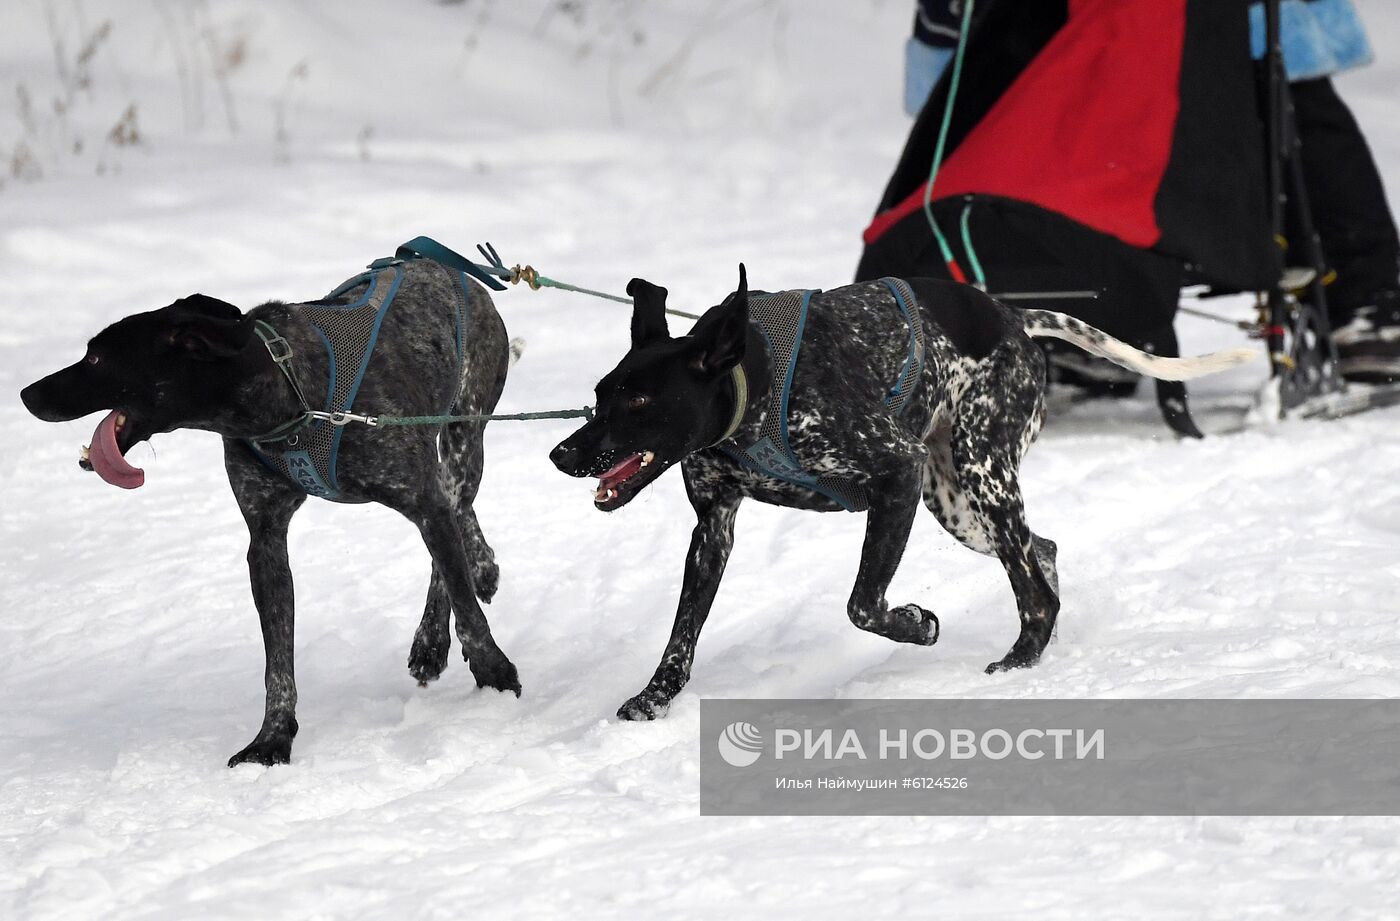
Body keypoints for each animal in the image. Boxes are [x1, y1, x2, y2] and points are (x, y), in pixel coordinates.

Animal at [19, 254, 523, 761]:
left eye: (96, 358)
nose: (26, 393)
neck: (289, 395)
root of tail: (430, 259)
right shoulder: (265, 541)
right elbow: (277, 663)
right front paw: (272, 739)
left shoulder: (421, 500)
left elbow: (465, 605)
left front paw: (495, 675)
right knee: (459, 518)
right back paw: (478, 571)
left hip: (464, 435)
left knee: (453, 520)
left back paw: (434, 635)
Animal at [548, 265, 1260, 716]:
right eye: (600, 395)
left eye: (640, 401)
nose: (562, 453)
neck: (757, 390)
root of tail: (1012, 314)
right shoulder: (713, 530)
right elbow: (681, 637)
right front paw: (656, 697)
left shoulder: (897, 477)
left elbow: (864, 605)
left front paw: (916, 625)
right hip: (961, 507)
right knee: (1042, 553)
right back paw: (1040, 645)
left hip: (978, 479)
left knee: (1033, 588)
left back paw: (1020, 662)